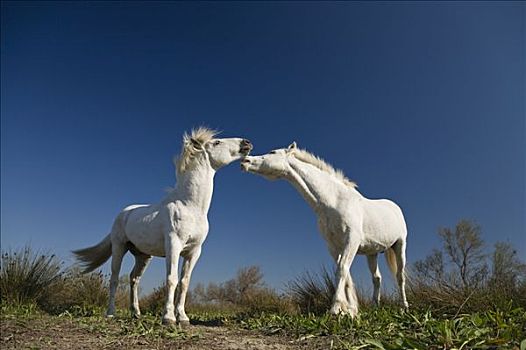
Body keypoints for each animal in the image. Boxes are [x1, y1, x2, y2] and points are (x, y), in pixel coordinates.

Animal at [73, 126, 253, 326]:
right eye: (216, 142)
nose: (246, 143)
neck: (190, 206)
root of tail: (124, 213)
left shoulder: (194, 251)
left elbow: (184, 282)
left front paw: (183, 318)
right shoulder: (174, 245)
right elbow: (171, 279)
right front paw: (168, 318)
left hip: (143, 256)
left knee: (134, 278)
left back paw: (136, 313)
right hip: (119, 247)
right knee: (114, 278)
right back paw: (111, 313)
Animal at [241, 142, 410, 318]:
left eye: (273, 152)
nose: (245, 161)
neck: (334, 201)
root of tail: (395, 207)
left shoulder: (351, 241)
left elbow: (342, 270)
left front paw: (336, 308)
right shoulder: (333, 246)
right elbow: (345, 275)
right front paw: (350, 309)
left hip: (400, 245)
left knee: (400, 276)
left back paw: (404, 307)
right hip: (372, 253)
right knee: (377, 278)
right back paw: (375, 307)